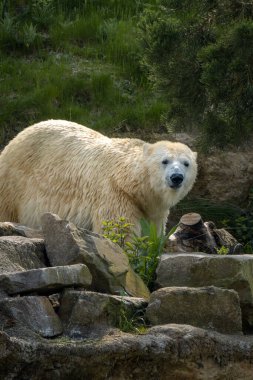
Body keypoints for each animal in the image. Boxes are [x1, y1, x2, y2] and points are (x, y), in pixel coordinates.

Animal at [0, 120, 198, 236]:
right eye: (165, 161)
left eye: (186, 163)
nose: (177, 177)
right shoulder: (114, 194)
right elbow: (117, 231)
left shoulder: (153, 209)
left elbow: (153, 233)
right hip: (13, 181)